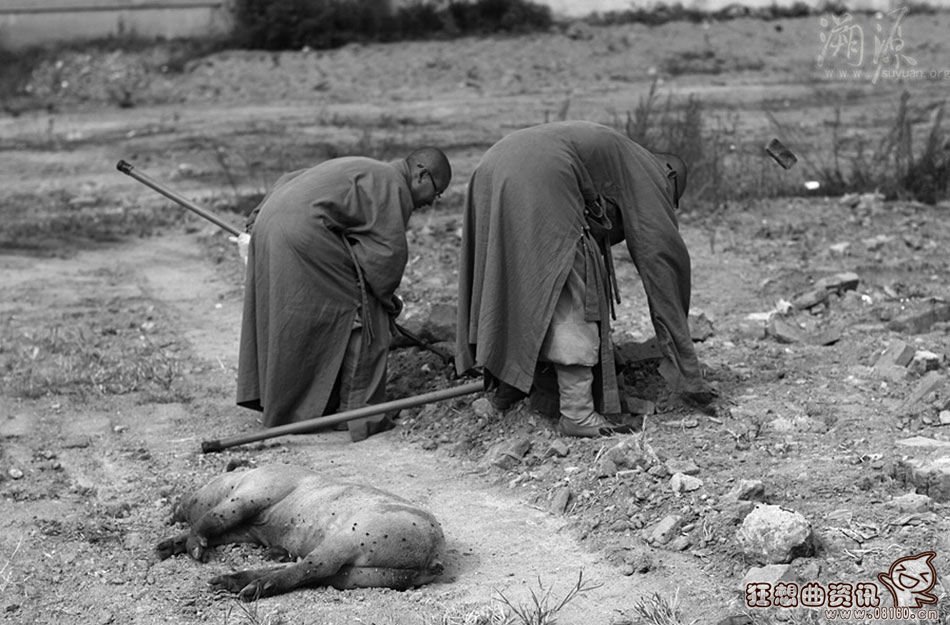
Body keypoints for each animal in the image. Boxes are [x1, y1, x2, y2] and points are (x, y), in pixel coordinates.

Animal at [158, 464, 448, 600]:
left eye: (206, 482)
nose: (174, 507)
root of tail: (434, 555)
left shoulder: (253, 493)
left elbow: (214, 517)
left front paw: (196, 552)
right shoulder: (247, 532)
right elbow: (218, 529)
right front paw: (163, 548)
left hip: (356, 534)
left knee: (315, 566)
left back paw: (249, 590)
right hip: (362, 574)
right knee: (318, 571)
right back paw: (221, 582)